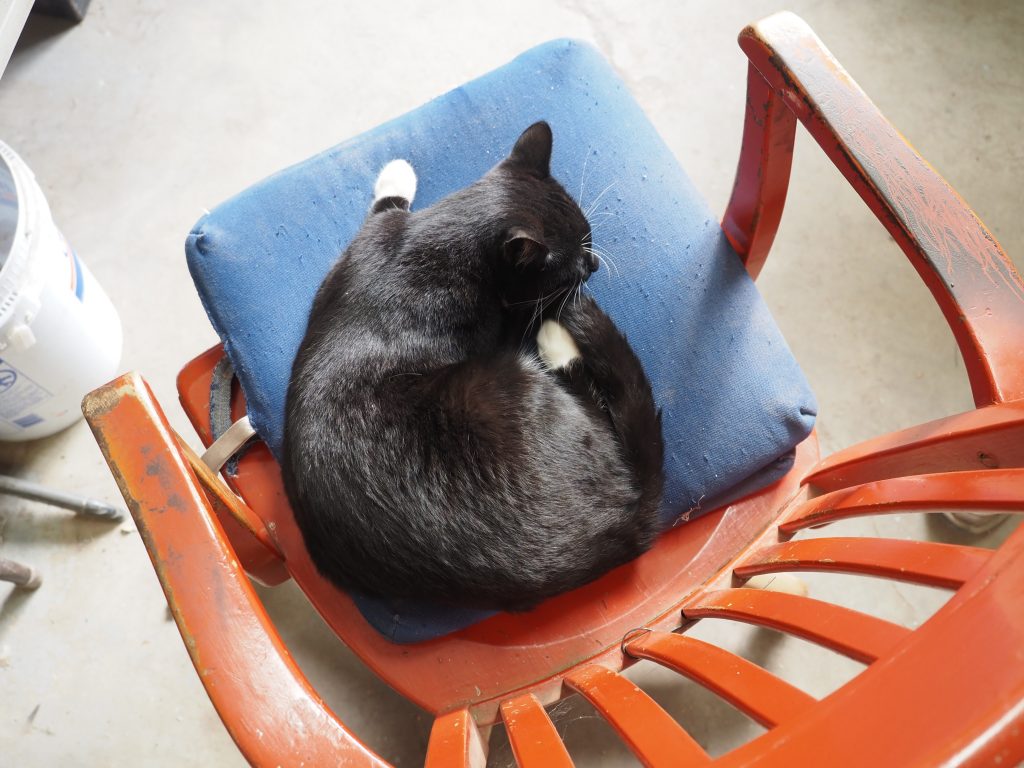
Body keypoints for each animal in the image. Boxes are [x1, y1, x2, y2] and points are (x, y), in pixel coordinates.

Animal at [282, 122, 664, 611]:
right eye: (575, 259)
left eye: (589, 238)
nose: (594, 264)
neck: (426, 248)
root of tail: (623, 525)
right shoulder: (497, 329)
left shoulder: (364, 248)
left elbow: (386, 206)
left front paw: (396, 172)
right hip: (504, 386)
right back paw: (555, 340)